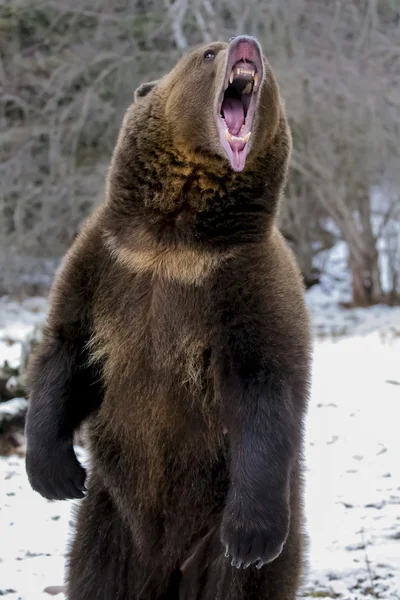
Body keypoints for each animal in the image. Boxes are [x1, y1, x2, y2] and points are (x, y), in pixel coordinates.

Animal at [25, 35, 312, 596]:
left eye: (268, 67)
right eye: (209, 52)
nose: (247, 43)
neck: (173, 238)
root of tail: (167, 562)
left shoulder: (244, 281)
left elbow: (264, 383)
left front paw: (252, 535)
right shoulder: (106, 263)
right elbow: (68, 348)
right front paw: (55, 474)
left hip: (215, 529)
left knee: (238, 582)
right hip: (110, 519)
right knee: (95, 574)